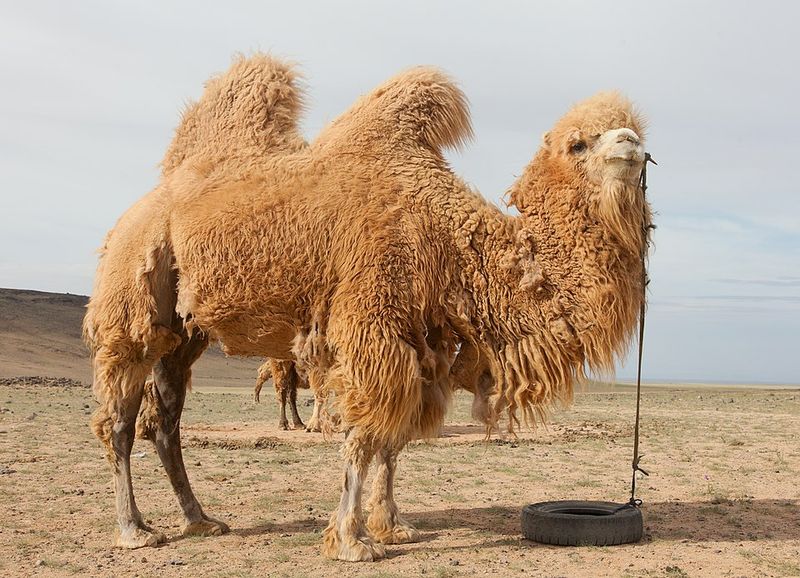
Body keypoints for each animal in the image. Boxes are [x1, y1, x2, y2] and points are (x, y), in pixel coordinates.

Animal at [84, 54, 651, 561]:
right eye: (579, 143)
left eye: (632, 131)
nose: (631, 142)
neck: (447, 237)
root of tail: (144, 203)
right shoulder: (371, 321)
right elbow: (363, 438)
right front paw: (351, 542)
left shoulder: (423, 339)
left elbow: (393, 441)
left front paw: (392, 526)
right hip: (132, 291)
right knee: (118, 420)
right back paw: (135, 530)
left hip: (184, 331)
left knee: (165, 420)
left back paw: (200, 519)